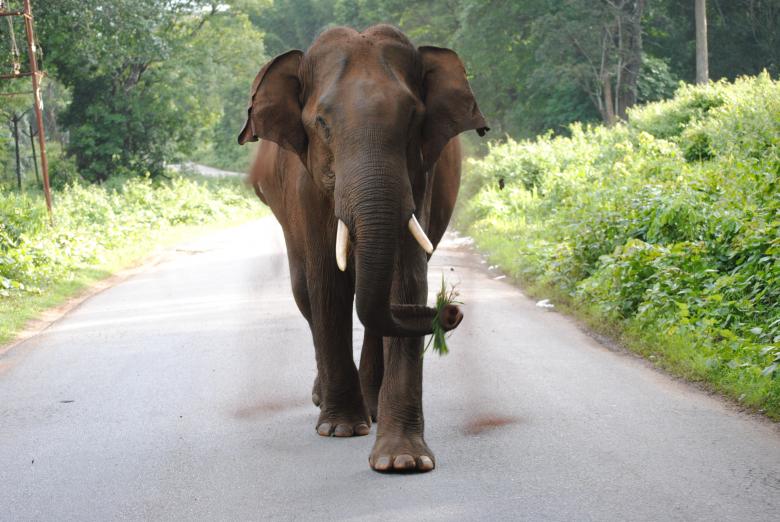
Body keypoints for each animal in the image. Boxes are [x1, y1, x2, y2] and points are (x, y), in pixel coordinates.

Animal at [238, 24, 488, 472]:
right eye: (321, 122)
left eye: (414, 118)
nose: (453, 310)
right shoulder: (305, 184)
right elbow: (327, 284)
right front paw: (340, 429)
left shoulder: (419, 176)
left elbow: (406, 282)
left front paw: (403, 460)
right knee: (304, 291)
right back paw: (327, 401)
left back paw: (371, 408)